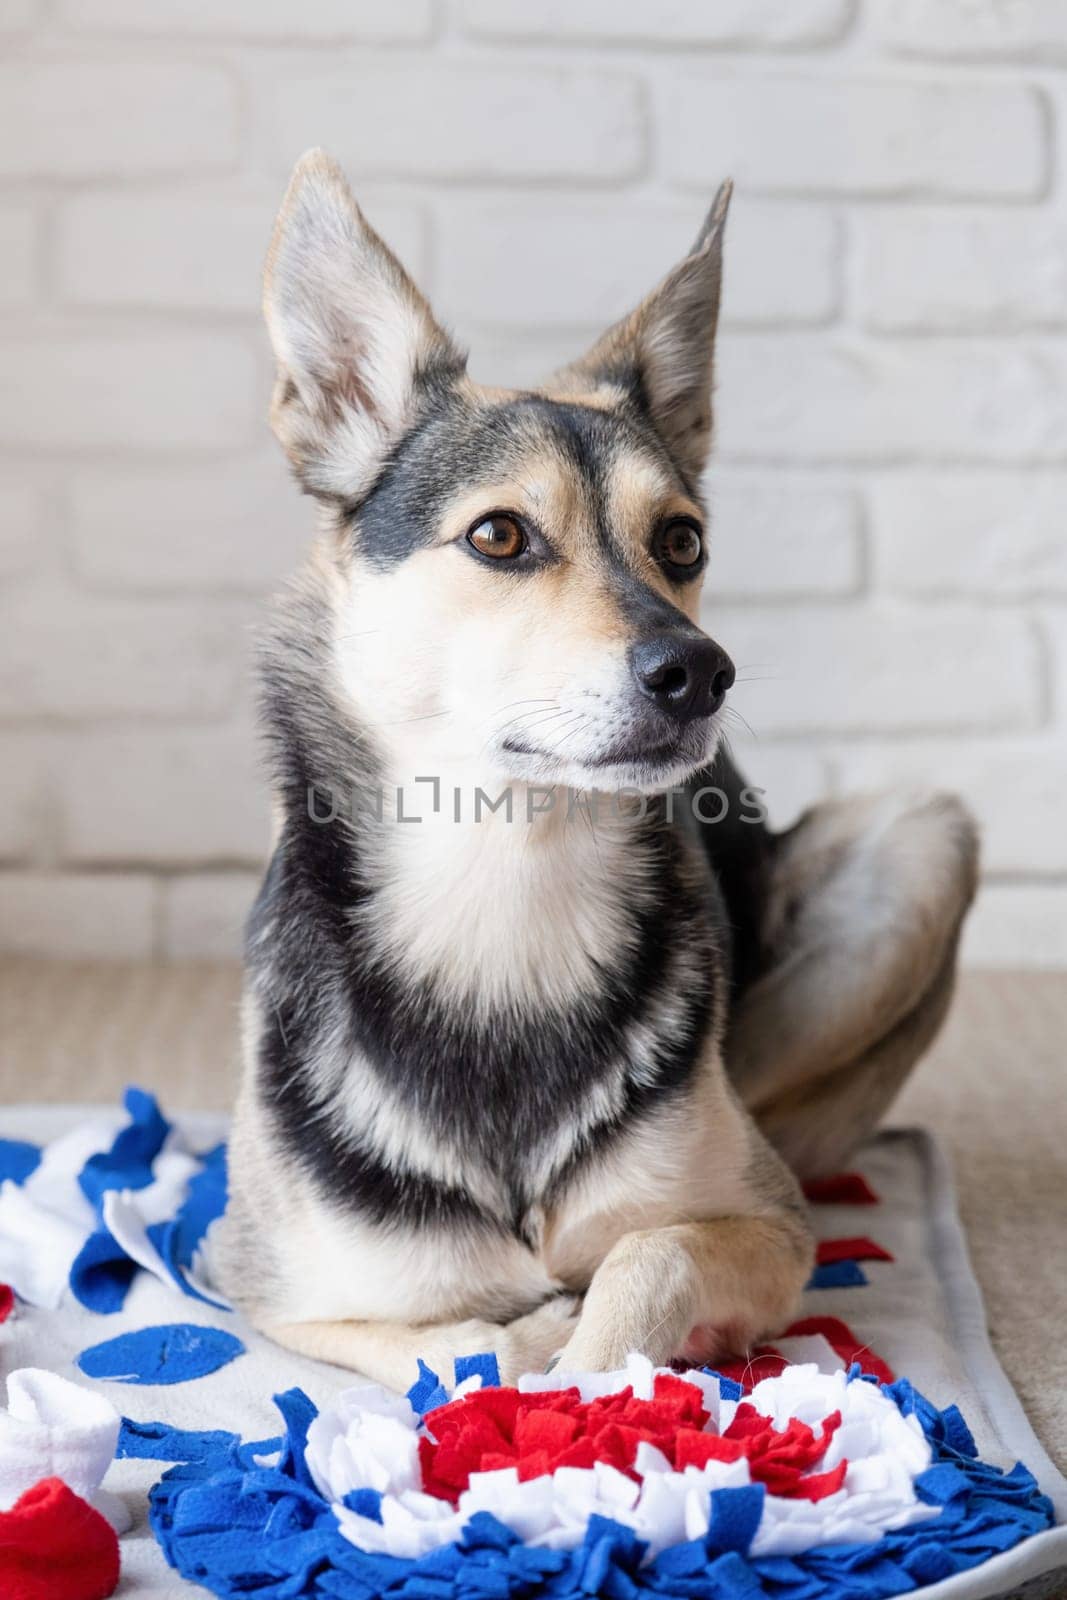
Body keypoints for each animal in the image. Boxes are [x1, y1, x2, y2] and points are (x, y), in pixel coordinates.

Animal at [219, 150, 985, 1388]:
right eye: (497, 536)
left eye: (680, 542)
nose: (700, 672)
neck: (503, 896)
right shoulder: (271, 1291)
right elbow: (462, 1342)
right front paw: (526, 1343)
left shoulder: (768, 1224)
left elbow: (644, 1262)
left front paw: (591, 1391)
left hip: (920, 846)